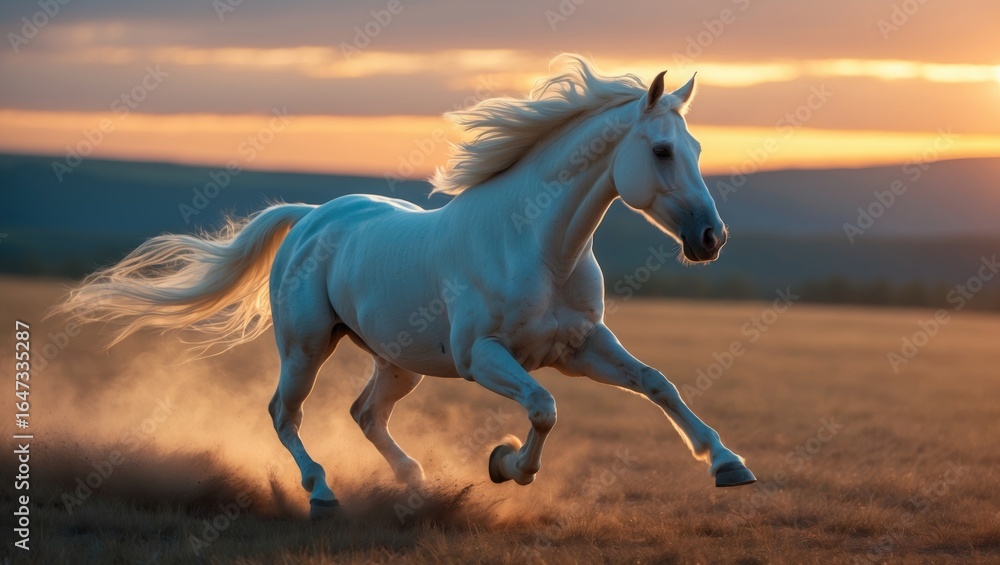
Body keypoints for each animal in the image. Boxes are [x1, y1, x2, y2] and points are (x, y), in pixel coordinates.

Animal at [57, 55, 756, 520]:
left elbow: (656, 384)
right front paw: (506, 465)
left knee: (365, 414)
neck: (537, 248)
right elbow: (542, 409)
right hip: (306, 347)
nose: (711, 238)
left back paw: (415, 483)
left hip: (399, 361)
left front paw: (729, 465)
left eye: (697, 147)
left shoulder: (581, 346)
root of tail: (310, 217)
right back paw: (323, 493)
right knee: (285, 413)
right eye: (662, 151)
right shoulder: (484, 358)